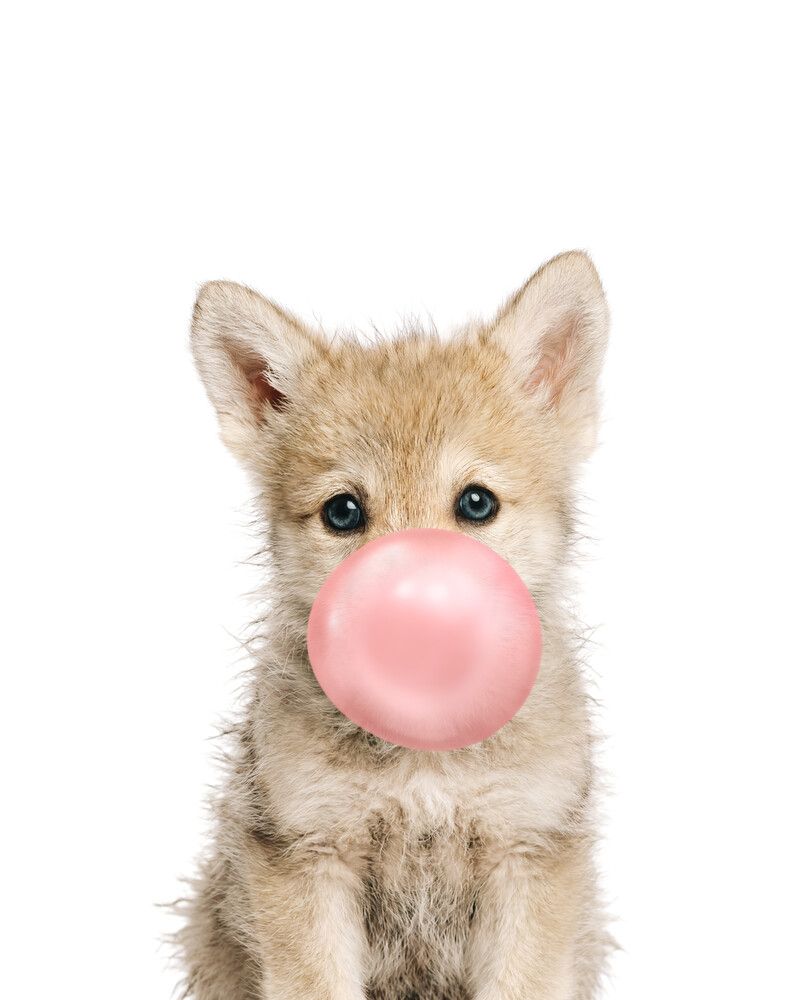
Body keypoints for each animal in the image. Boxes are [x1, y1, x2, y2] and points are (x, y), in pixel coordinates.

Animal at [176, 251, 612, 999]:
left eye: (476, 503)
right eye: (343, 512)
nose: (412, 617)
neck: (424, 758)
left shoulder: (527, 855)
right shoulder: (308, 858)